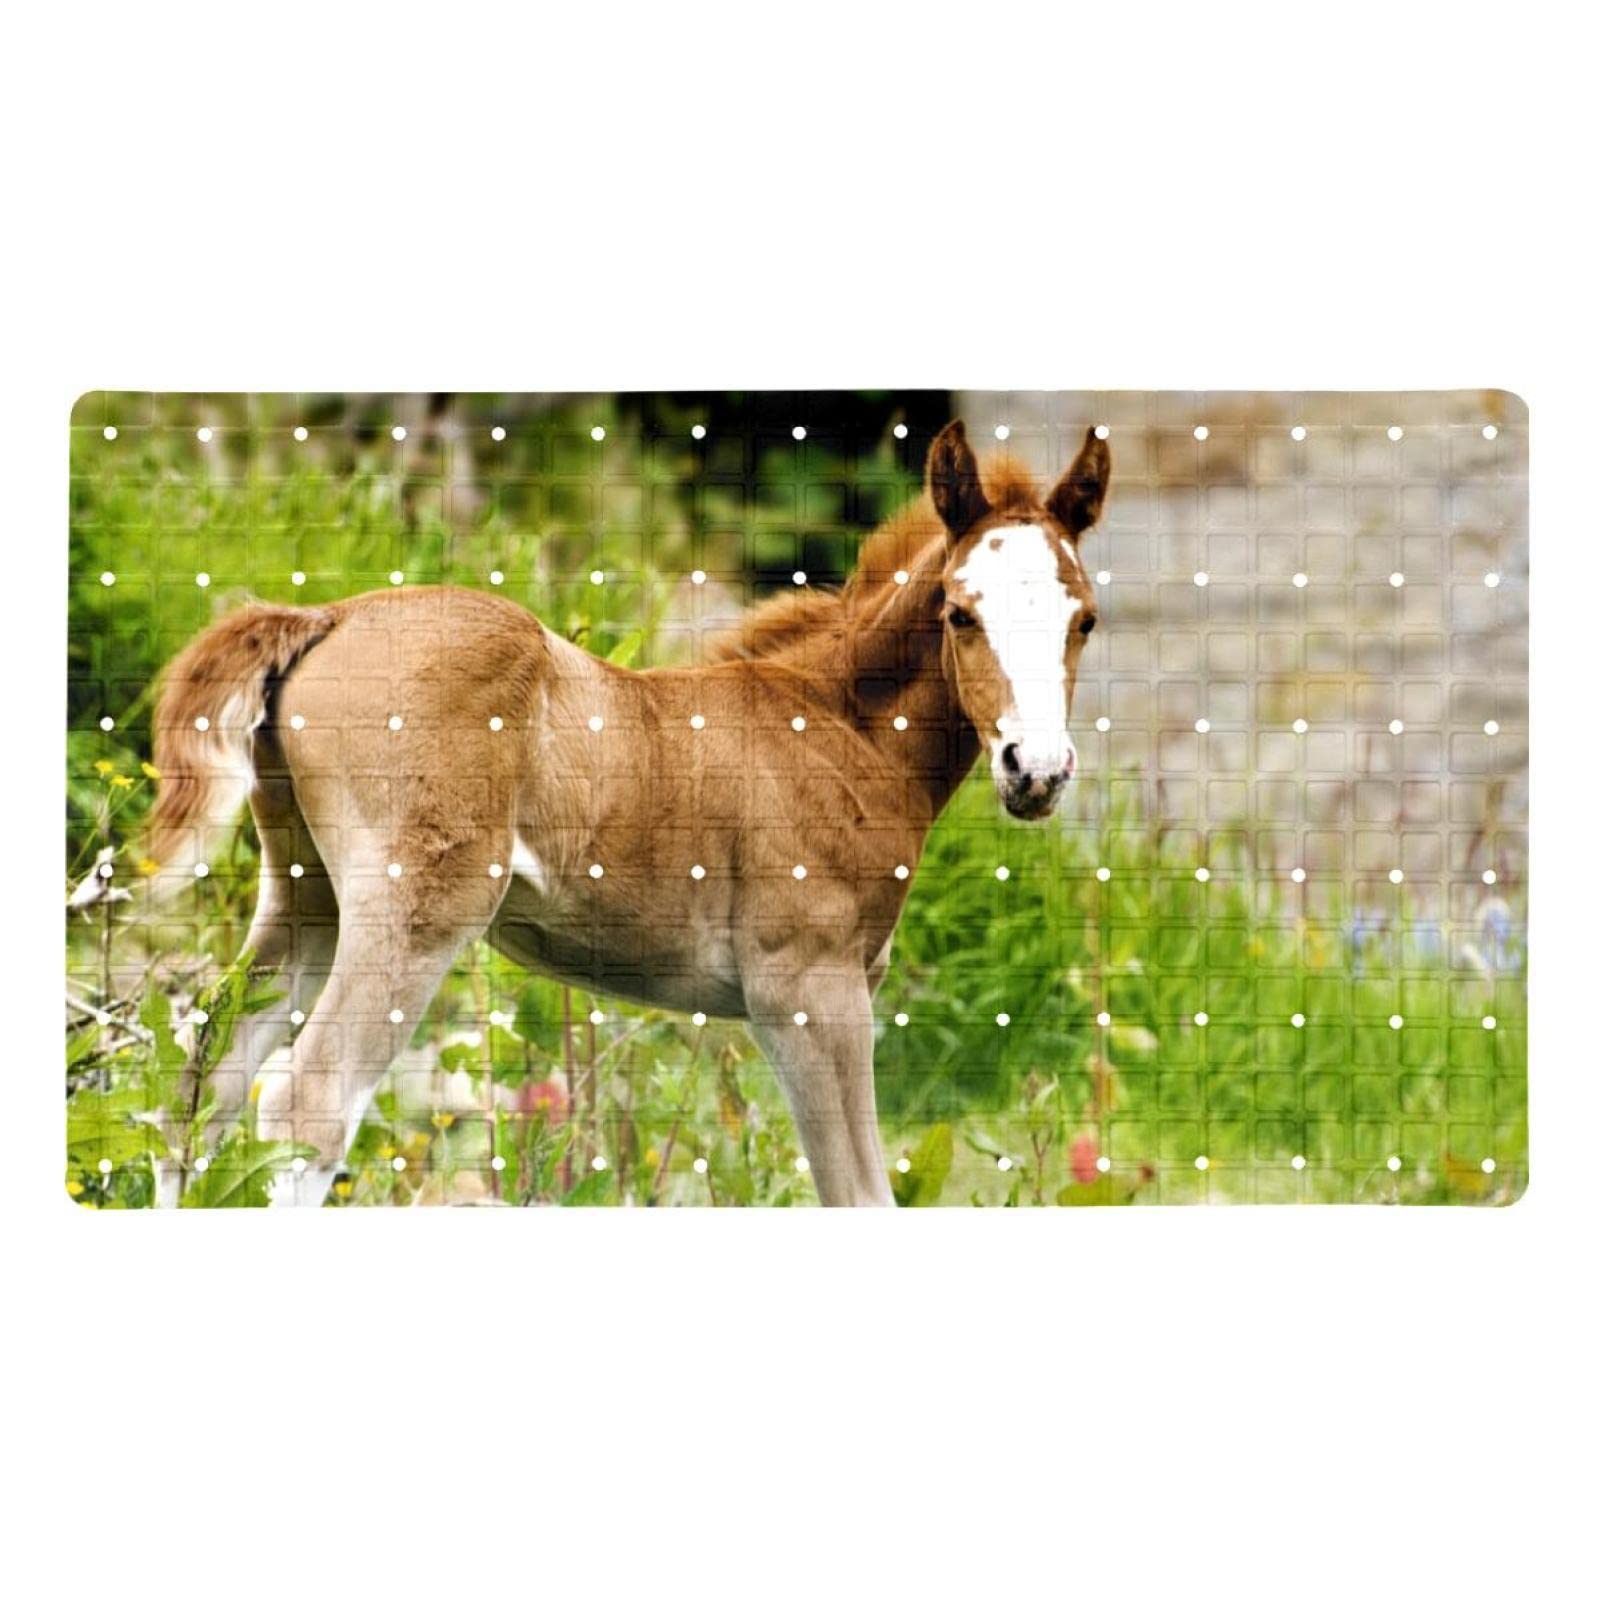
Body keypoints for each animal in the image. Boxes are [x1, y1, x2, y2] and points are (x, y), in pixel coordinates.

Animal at [143, 419, 1111, 1206]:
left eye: (1085, 620)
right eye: (959, 613)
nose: (1036, 770)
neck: (843, 726)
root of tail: (329, 614)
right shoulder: (807, 992)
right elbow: (859, 1194)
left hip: (306, 893)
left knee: (199, 1090)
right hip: (416, 909)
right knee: (306, 1105)